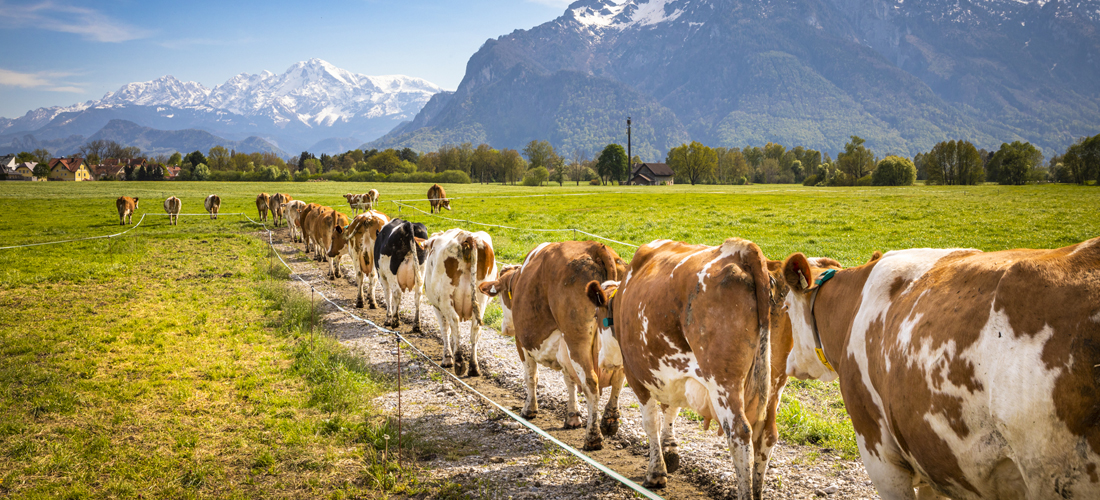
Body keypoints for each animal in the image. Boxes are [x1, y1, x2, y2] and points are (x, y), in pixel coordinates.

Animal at [424, 228, 499, 378]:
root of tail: (467, 236)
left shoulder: (437, 307)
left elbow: (445, 330)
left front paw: (448, 358)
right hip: (481, 299)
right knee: (475, 329)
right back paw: (473, 367)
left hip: (445, 298)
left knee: (455, 322)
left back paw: (458, 361)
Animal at [475, 240, 629, 452]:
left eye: (501, 296)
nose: (505, 328)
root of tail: (596, 246)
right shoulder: (563, 352)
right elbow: (569, 381)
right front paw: (572, 417)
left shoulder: (522, 344)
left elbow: (531, 377)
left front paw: (529, 409)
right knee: (619, 378)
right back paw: (610, 420)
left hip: (576, 340)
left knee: (591, 383)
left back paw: (593, 437)